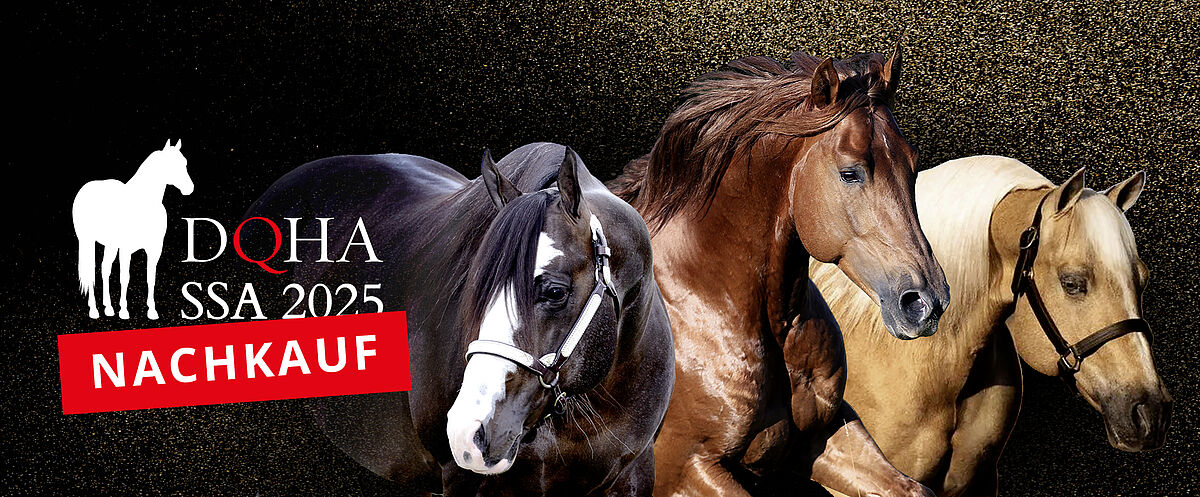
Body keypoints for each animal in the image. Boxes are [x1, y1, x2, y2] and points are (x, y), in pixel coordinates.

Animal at [73, 139, 193, 320]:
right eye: (170, 165)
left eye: (185, 163)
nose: (189, 188)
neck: (143, 205)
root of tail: (85, 188)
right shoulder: (126, 250)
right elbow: (125, 278)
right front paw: (124, 311)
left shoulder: (154, 249)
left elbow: (151, 278)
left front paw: (152, 311)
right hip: (87, 241)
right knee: (90, 272)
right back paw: (94, 310)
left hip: (111, 245)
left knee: (105, 269)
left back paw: (108, 308)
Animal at [609, 46, 950, 497]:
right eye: (850, 172)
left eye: (912, 168)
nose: (926, 302)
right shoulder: (684, 470)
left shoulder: (825, 434)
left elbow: (912, 488)